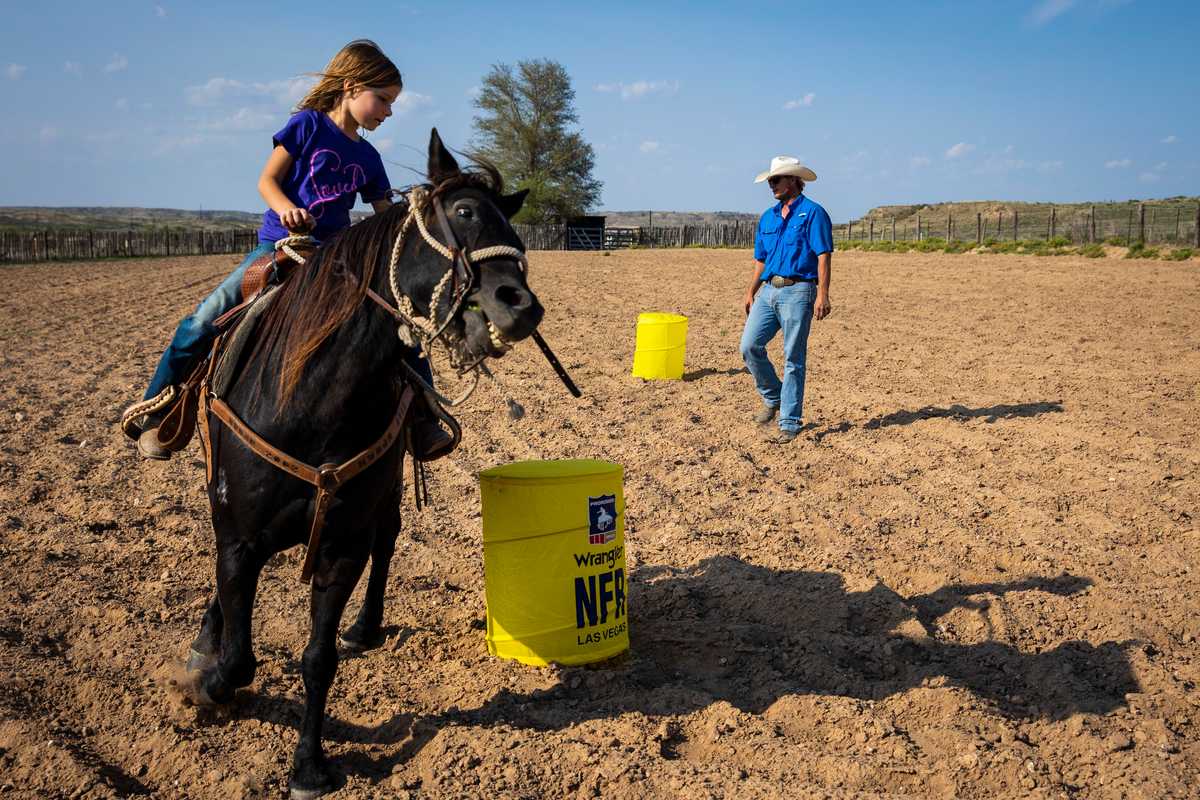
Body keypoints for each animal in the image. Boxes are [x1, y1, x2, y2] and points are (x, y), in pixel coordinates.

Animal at [182, 128, 544, 796]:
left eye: (515, 230)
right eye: (463, 213)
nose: (521, 306)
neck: (309, 400)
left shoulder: (341, 544)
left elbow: (318, 658)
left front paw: (309, 766)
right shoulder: (240, 534)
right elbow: (239, 653)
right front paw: (206, 681)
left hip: (390, 485)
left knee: (388, 537)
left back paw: (366, 625)